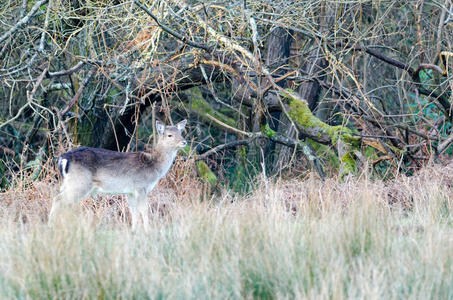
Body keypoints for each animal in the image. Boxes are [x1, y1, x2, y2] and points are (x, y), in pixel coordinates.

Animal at [50, 118, 188, 229]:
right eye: (170, 135)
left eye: (180, 132)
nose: (184, 142)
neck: (154, 166)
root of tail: (63, 159)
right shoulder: (140, 186)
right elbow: (144, 210)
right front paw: (147, 231)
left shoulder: (130, 191)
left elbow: (134, 211)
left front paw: (134, 231)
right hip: (80, 183)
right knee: (59, 200)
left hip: (68, 183)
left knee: (58, 198)